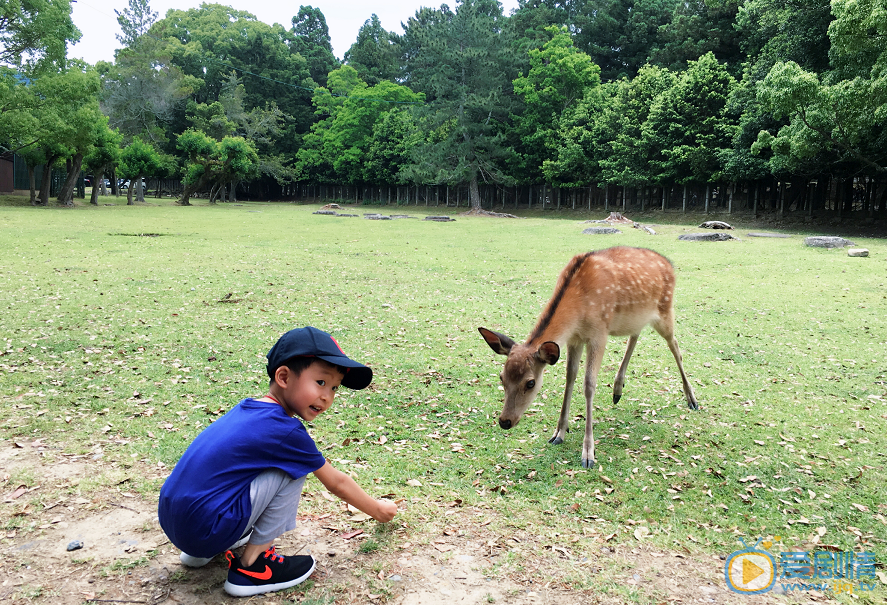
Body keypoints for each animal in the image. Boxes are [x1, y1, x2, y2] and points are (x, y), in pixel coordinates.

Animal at [478, 247, 700, 468]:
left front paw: (588, 453)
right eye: (502, 377)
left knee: (675, 346)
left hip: (665, 310)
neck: (579, 308)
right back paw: (617, 390)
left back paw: (692, 399)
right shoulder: (574, 339)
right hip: (636, 316)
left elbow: (589, 384)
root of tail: (669, 264)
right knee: (635, 335)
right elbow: (570, 378)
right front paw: (558, 433)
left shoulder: (599, 333)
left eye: (530, 383)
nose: (505, 421)